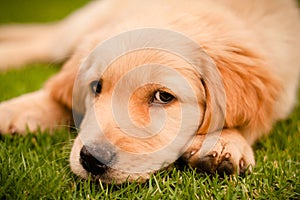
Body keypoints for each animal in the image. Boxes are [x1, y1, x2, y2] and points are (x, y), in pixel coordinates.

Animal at [0, 0, 300, 184]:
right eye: (96, 86)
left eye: (163, 97)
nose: (91, 160)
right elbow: (58, 90)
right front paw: (18, 110)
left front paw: (225, 143)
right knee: (42, 42)